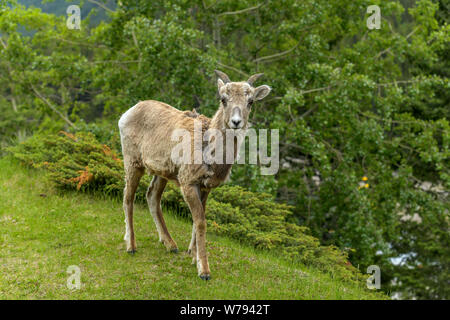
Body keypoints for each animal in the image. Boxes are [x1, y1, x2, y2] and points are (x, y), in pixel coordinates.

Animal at [118, 70, 270, 280]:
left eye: (251, 101)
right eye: (223, 99)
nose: (236, 122)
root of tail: (128, 113)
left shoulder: (205, 187)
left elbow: (197, 220)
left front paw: (193, 255)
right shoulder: (188, 183)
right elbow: (200, 222)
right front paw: (204, 270)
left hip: (163, 173)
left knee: (152, 196)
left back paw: (170, 245)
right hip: (133, 163)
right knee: (128, 197)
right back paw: (131, 246)